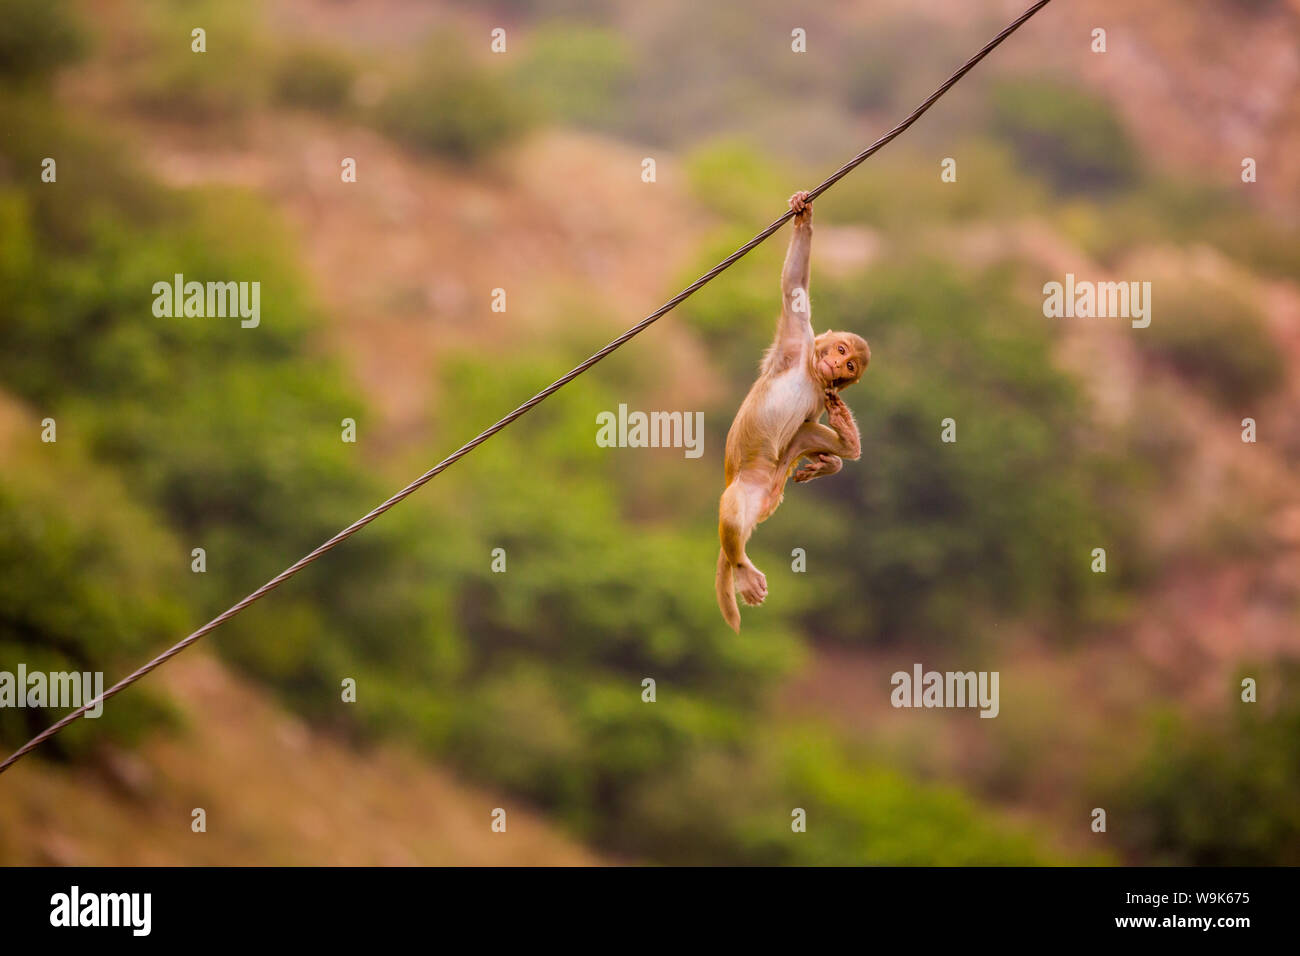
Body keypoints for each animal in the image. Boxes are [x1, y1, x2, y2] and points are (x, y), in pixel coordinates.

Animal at [717, 191, 868, 632]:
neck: (811, 373)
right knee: (732, 511)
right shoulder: (797, 338)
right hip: (747, 490)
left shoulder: (824, 393)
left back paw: (846, 444)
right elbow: (794, 287)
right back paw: (742, 569)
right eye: (839, 350)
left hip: (773, 483)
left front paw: (832, 456)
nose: (835, 365)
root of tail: (768, 496)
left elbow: (810, 422)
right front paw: (804, 216)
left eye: (850, 366)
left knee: (804, 435)